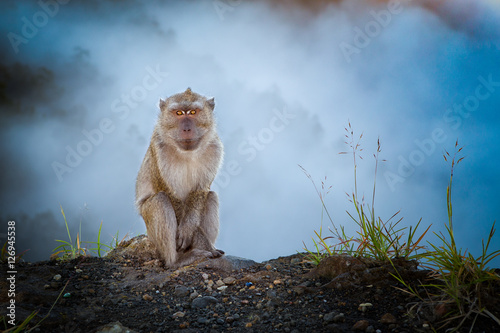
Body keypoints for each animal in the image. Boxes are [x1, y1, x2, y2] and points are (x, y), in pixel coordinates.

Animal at [135, 87, 225, 268]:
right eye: (178, 113)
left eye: (193, 112)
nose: (186, 129)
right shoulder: (158, 149)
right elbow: (168, 194)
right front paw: (205, 246)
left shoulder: (215, 148)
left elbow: (200, 191)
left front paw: (189, 230)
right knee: (160, 200)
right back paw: (177, 261)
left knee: (211, 197)